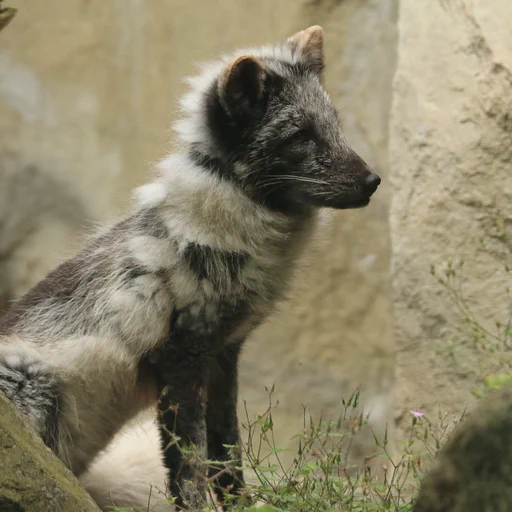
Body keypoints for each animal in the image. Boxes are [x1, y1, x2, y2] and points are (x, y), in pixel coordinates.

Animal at [0, 26, 376, 510]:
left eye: (334, 126)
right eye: (301, 136)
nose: (373, 181)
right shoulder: (179, 361)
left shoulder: (223, 356)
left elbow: (226, 459)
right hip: (35, 392)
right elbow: (190, 469)